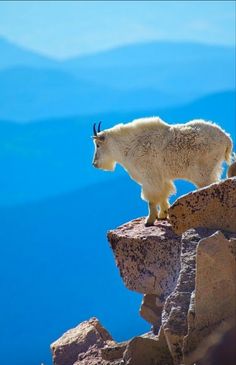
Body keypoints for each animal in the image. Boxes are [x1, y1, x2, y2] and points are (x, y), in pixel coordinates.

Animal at [91, 116, 232, 225]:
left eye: (98, 145)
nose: (95, 164)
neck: (127, 146)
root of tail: (227, 138)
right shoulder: (161, 178)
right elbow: (164, 194)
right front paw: (163, 215)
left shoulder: (149, 176)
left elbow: (151, 199)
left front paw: (149, 221)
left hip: (203, 170)